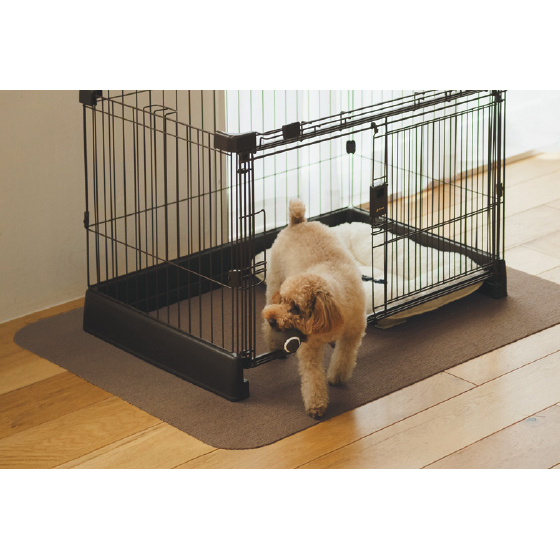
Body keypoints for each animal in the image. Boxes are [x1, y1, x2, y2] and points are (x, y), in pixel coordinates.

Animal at [262, 199, 367, 418]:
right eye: (283, 300)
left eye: (295, 308)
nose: (272, 319)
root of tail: (298, 221)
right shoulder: (309, 348)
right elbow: (312, 378)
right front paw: (316, 405)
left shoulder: (353, 334)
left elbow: (344, 358)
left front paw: (337, 378)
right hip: (274, 280)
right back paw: (274, 343)